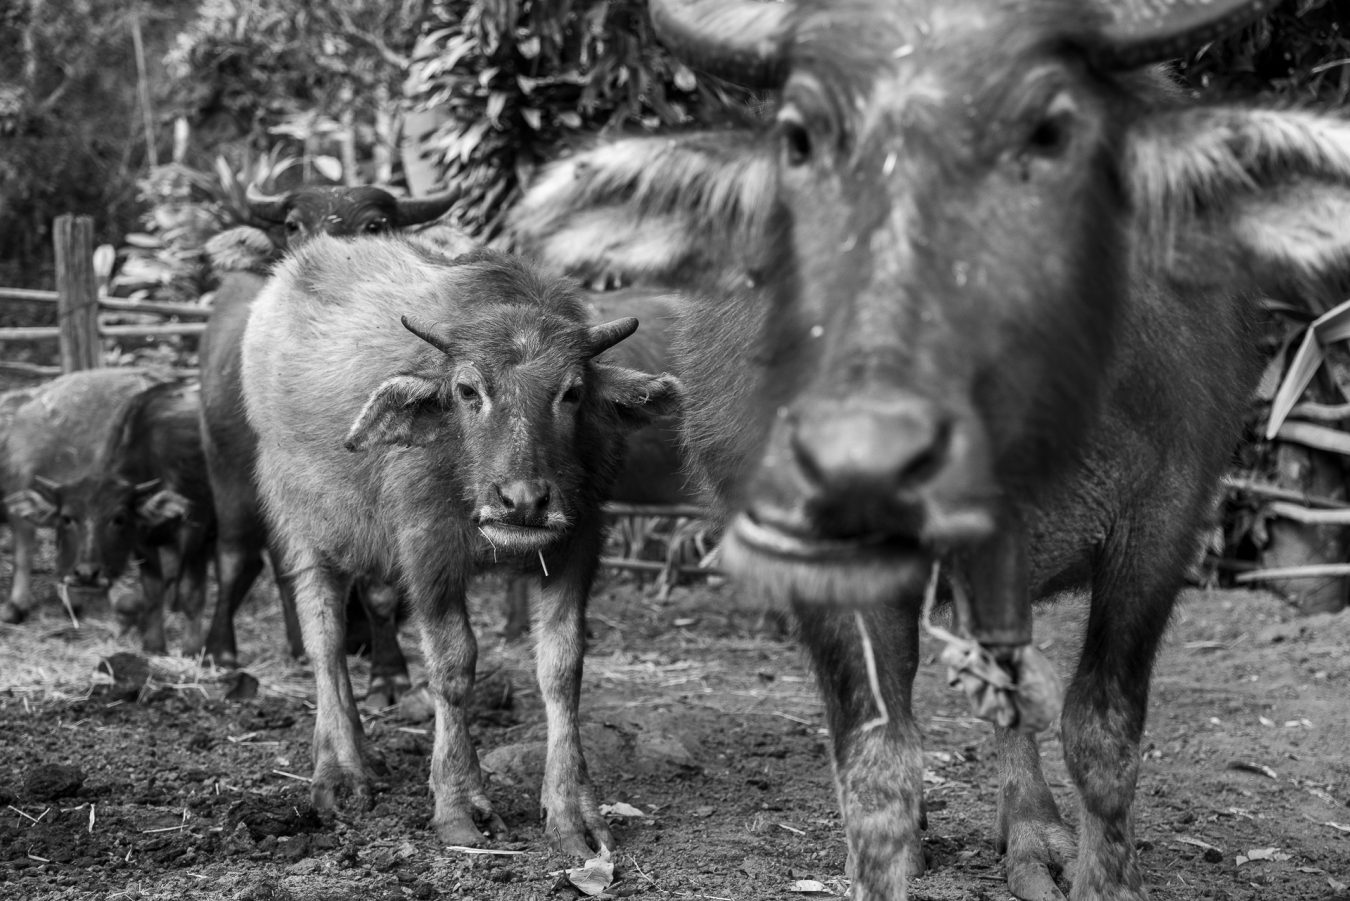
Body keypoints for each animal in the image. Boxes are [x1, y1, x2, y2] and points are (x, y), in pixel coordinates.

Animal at [194, 181, 469, 675]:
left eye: (376, 226)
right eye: (292, 225)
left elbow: (380, 587)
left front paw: (387, 666)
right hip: (227, 470)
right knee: (237, 557)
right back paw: (225, 647)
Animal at [238, 236, 680, 859]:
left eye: (572, 392)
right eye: (469, 390)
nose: (523, 501)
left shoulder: (578, 547)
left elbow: (562, 668)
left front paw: (572, 810)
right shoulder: (428, 551)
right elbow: (452, 666)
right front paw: (457, 804)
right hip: (304, 525)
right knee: (324, 636)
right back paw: (340, 770)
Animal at [507, 0, 1350, 896]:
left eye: (1051, 130)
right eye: (800, 141)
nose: (866, 447)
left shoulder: (1168, 513)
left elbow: (1103, 732)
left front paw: (1099, 871)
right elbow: (877, 758)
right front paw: (885, 848)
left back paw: (1032, 830)